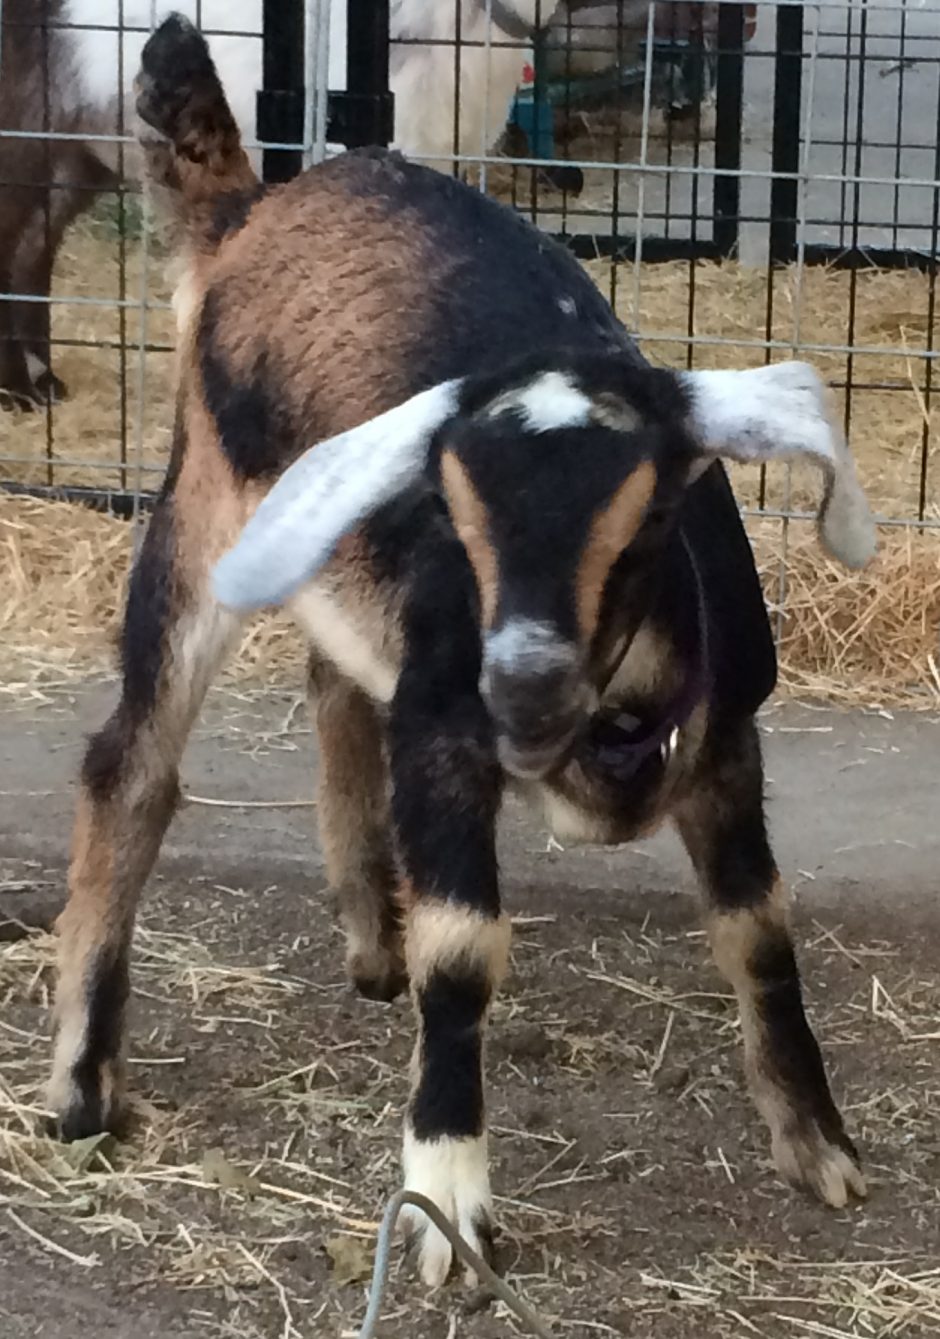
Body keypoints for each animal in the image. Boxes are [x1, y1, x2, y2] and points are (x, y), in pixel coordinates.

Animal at [48, 16, 875, 1288]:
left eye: (647, 519)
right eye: (459, 507)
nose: (521, 685)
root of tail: (252, 206)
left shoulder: (725, 736)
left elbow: (759, 929)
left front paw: (817, 1144)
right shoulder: (445, 732)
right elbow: (466, 950)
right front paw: (447, 1204)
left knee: (334, 684)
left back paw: (368, 938)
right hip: (201, 515)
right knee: (128, 765)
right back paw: (86, 1085)